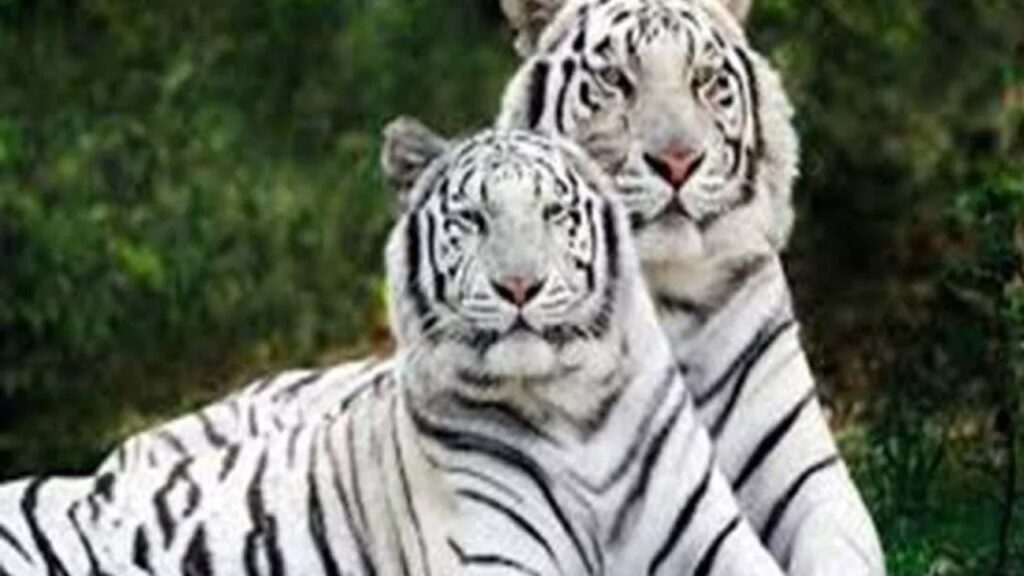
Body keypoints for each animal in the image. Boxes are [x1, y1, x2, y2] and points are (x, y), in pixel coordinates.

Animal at [0, 129, 788, 576]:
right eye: (473, 219)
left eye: (554, 213)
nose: (519, 286)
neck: (574, 412)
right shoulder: (494, 560)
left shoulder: (720, 543)